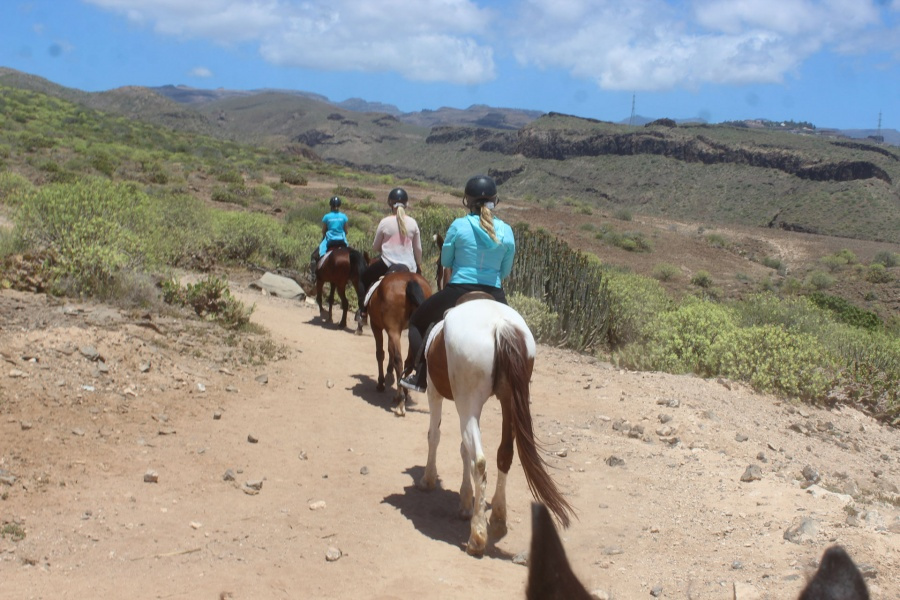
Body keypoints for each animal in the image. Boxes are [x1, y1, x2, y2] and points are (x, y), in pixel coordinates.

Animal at [358, 270, 432, 414]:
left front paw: (381, 383)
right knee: (408, 361)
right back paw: (404, 392)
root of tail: (411, 281)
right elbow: (390, 353)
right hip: (414, 328)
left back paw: (400, 401)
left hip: (393, 330)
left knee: (398, 360)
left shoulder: (377, 326)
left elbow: (381, 353)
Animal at [414, 298, 568, 556]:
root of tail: (500, 325)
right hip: (507, 402)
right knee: (504, 454)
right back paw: (497, 519)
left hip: (468, 404)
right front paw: (466, 502)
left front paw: (428, 480)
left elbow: (434, 436)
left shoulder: (434, 393)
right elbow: (463, 449)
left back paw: (477, 537)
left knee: (480, 461)